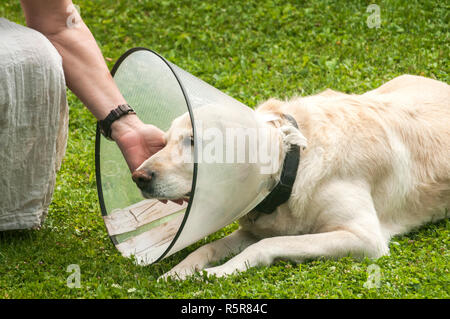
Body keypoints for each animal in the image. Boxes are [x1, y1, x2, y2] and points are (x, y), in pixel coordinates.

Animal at [132, 75, 448, 280]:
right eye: (164, 142)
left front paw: (220, 271)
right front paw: (180, 271)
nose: (138, 177)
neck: (293, 165)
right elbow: (208, 247)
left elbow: (268, 244)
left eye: (193, 140)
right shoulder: (252, 229)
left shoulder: (364, 237)